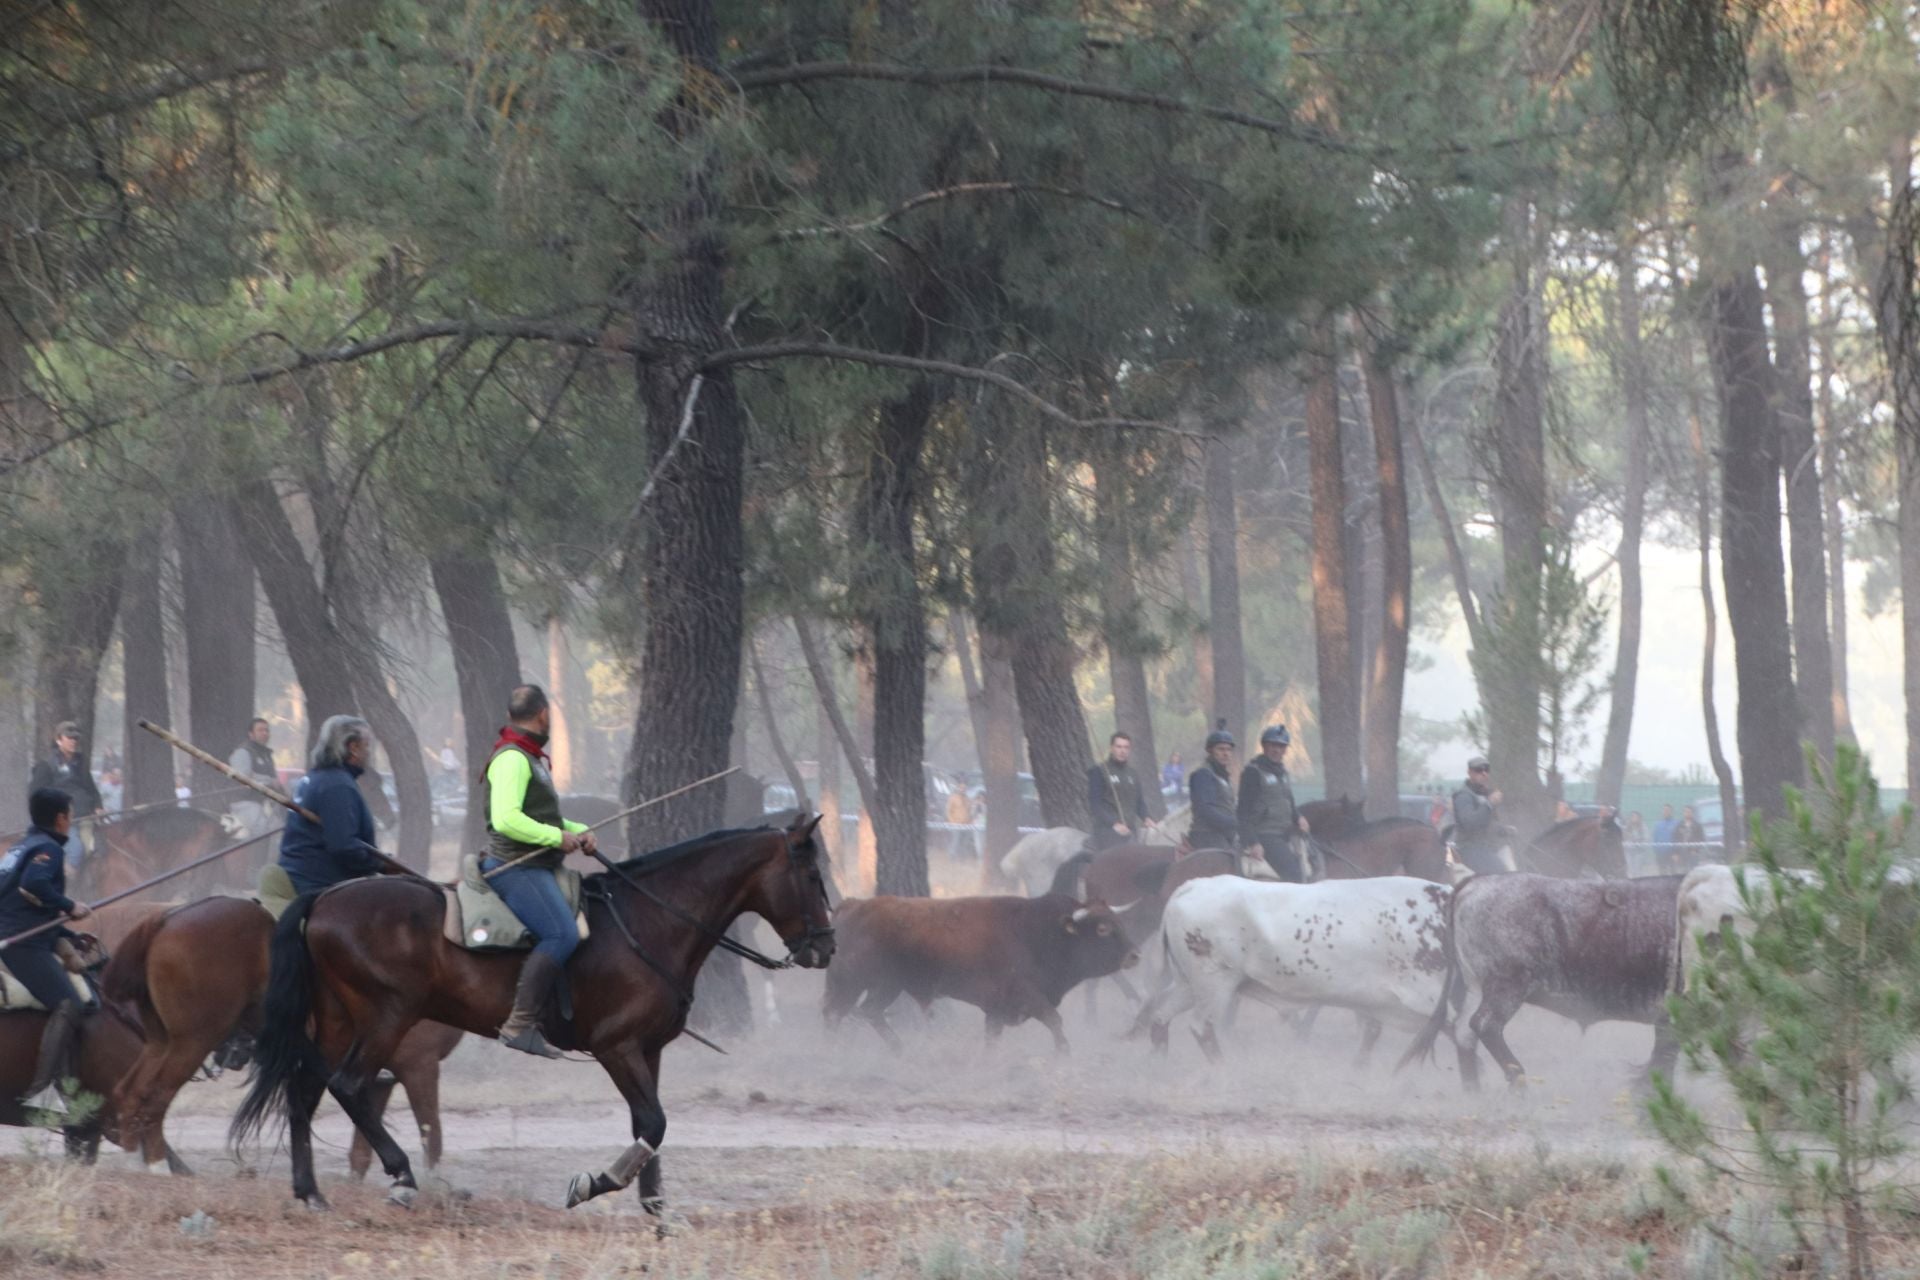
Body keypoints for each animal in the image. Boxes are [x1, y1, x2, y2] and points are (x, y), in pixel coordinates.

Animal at [101, 898, 464, 1174]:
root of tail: (166, 919)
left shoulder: (382, 1078)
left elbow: (365, 1141)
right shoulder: (418, 1066)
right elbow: (431, 1134)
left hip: (161, 1042)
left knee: (130, 1093)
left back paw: (135, 1163)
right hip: (191, 1042)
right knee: (154, 1097)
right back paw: (157, 1167)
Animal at [232, 817, 833, 1220]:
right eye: (809, 872)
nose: (825, 947)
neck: (650, 919)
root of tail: (323, 898)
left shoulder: (648, 1050)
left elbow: (650, 1126)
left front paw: (658, 1209)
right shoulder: (616, 1048)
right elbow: (653, 1123)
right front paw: (595, 1183)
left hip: (336, 1021)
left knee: (305, 1091)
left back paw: (311, 1193)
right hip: (385, 1016)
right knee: (350, 1085)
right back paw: (400, 1175)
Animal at [825, 890, 1136, 1051]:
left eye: (1118, 922)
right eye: (1103, 928)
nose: (1134, 955)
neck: (1040, 931)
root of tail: (852, 905)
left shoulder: (996, 1011)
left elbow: (992, 1038)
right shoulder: (1027, 997)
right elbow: (1055, 1021)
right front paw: (1064, 1054)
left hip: (885, 986)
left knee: (863, 1012)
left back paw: (896, 1050)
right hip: (854, 983)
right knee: (838, 1014)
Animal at [1136, 875, 1451, 1066]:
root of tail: (1192, 886)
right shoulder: (1427, 997)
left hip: (1189, 985)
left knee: (1161, 1016)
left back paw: (1159, 1062)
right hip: (1214, 984)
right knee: (1201, 1026)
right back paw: (1225, 1069)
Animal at [1397, 871, 1681, 1090]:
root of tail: (1478, 882)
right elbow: (1665, 1056)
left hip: (1478, 986)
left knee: (1464, 1033)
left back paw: (1475, 1092)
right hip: (1507, 986)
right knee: (1485, 1025)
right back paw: (1518, 1082)